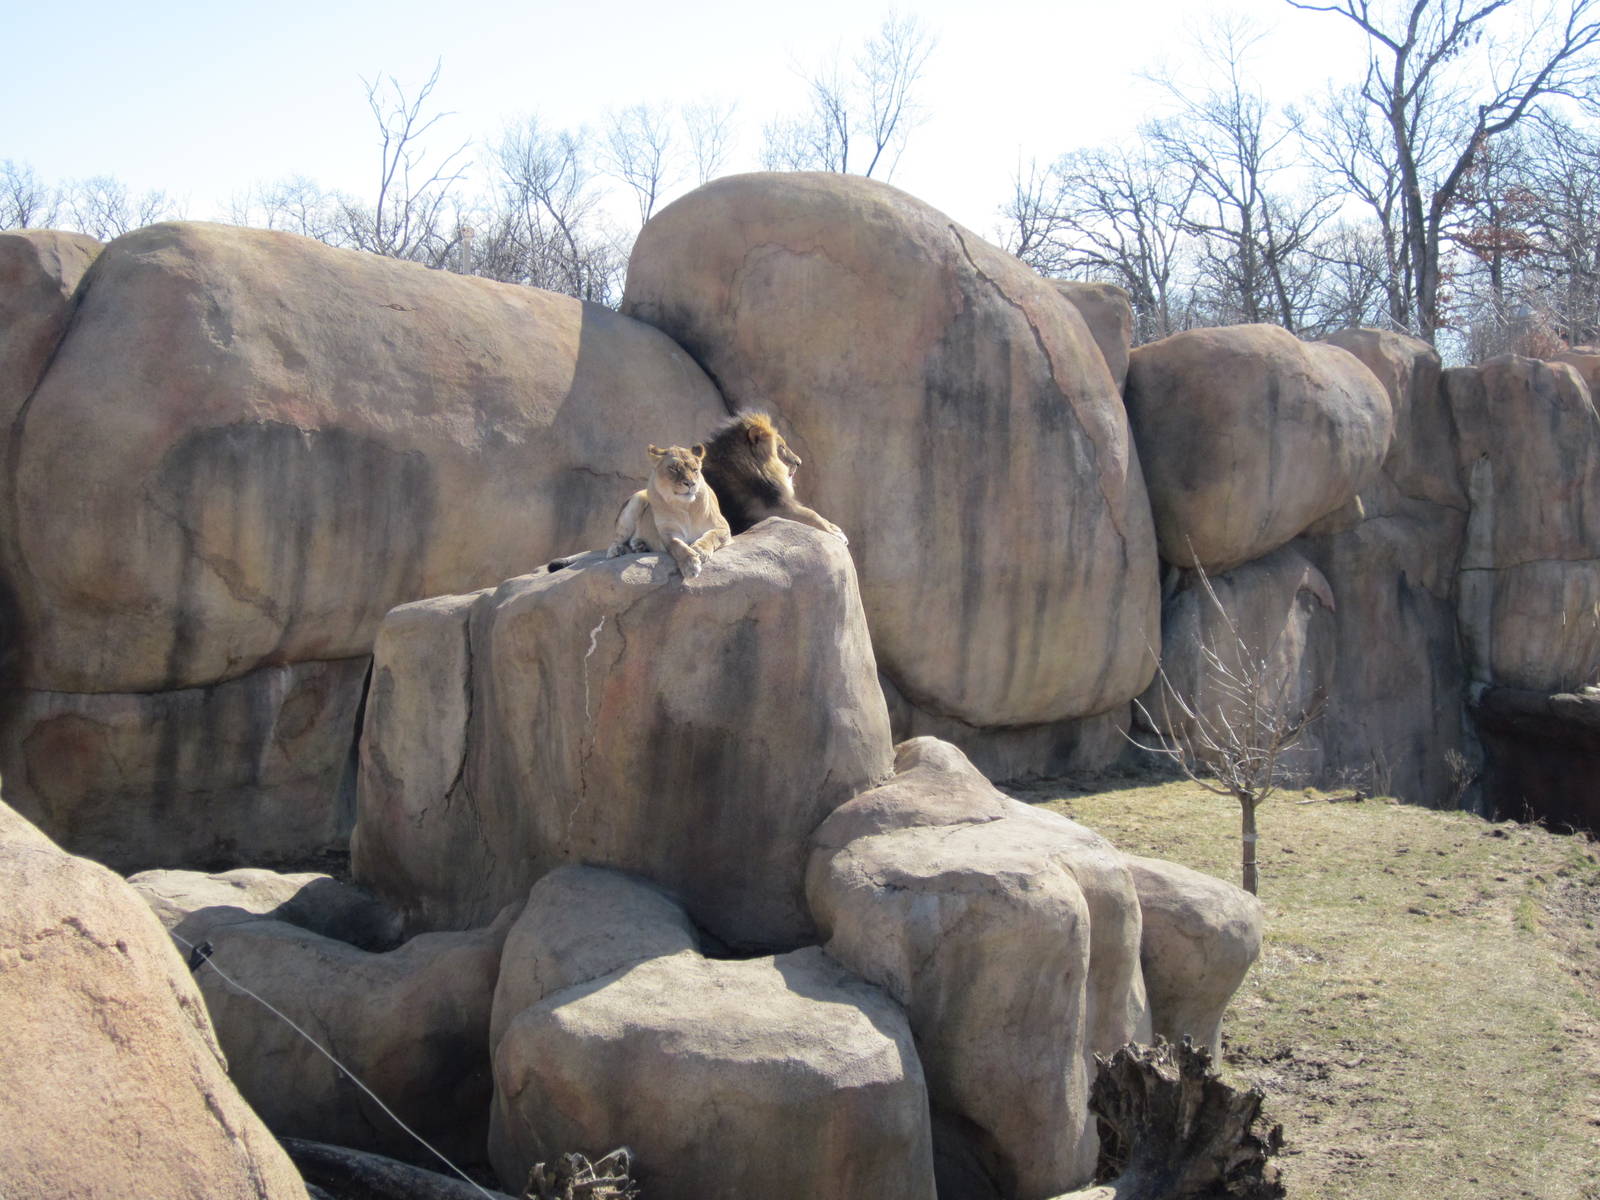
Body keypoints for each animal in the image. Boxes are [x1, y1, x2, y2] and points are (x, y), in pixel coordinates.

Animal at [606, 443, 731, 578]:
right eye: (674, 469)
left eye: (694, 470)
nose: (691, 483)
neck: (685, 506)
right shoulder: (667, 533)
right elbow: (678, 546)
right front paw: (691, 566)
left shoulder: (723, 527)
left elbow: (713, 535)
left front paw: (700, 549)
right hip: (636, 500)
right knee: (617, 539)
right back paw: (616, 550)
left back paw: (639, 545)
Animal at [700, 412, 848, 543]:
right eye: (781, 447)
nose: (799, 462)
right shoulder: (772, 511)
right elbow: (811, 514)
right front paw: (837, 534)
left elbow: (814, 514)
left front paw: (834, 527)